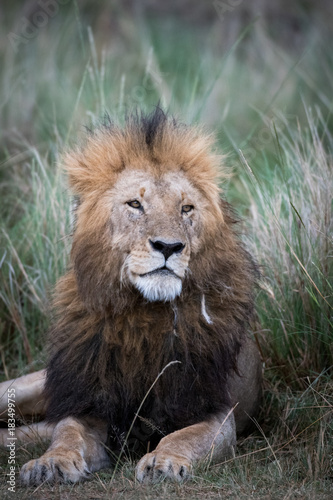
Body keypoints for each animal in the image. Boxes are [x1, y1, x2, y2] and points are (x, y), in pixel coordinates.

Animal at [0, 108, 262, 484]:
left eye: (186, 209)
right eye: (135, 204)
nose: (168, 246)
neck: (144, 314)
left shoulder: (215, 408)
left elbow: (186, 436)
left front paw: (164, 461)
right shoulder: (90, 401)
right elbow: (67, 432)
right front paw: (50, 463)